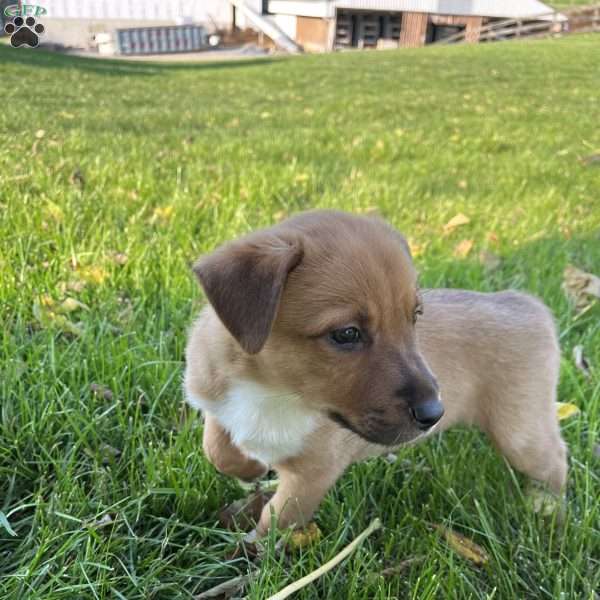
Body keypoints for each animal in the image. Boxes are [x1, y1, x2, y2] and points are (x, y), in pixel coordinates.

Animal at [184, 210, 568, 536]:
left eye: (415, 316)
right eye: (346, 334)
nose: (435, 414)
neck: (275, 392)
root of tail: (527, 303)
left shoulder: (313, 473)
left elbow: (276, 521)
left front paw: (252, 557)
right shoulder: (215, 401)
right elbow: (217, 448)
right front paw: (249, 469)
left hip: (521, 432)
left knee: (556, 459)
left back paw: (547, 508)